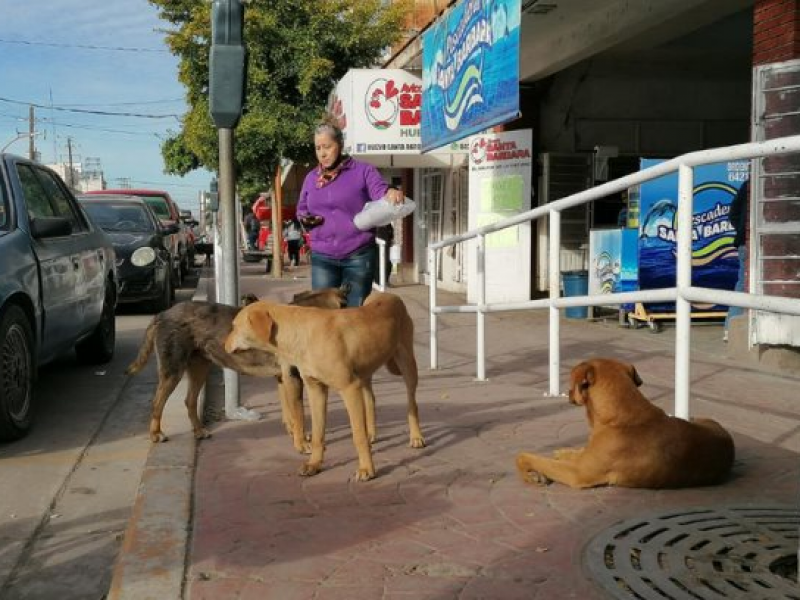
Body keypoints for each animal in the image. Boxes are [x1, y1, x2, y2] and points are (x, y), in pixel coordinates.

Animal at [127, 286, 346, 446]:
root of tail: (163, 313)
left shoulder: (283, 379)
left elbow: (290, 414)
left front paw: (294, 435)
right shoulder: (293, 377)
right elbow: (298, 414)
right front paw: (302, 445)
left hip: (199, 368)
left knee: (189, 401)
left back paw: (199, 431)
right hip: (172, 370)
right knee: (157, 403)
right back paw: (156, 434)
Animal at [225, 292, 424, 482]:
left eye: (234, 327)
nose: (223, 345)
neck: (301, 333)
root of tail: (391, 295)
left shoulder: (349, 388)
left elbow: (357, 436)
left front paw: (367, 469)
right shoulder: (316, 389)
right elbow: (317, 434)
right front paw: (314, 464)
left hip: (407, 363)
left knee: (412, 403)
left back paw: (416, 437)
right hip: (366, 368)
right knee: (371, 399)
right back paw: (372, 433)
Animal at [296, 118, 404, 308]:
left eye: (326, 146)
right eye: (318, 147)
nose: (322, 156)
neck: (333, 170)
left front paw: (392, 193)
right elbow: (301, 210)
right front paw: (308, 221)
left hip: (359, 269)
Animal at [516, 358, 736, 490]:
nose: (569, 392)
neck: (619, 418)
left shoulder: (577, 473)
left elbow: (525, 456)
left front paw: (531, 472)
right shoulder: (585, 458)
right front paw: (560, 454)